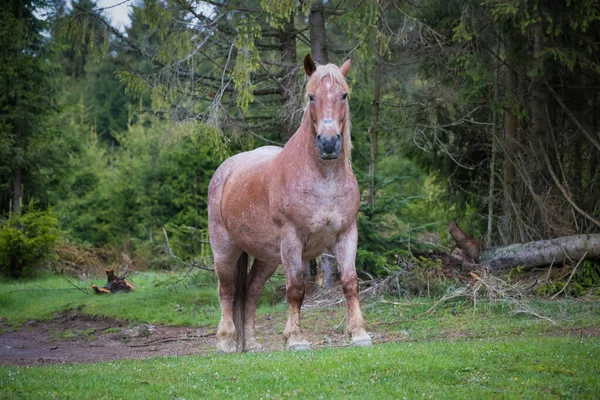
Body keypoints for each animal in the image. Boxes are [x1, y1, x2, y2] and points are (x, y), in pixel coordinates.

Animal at [209, 54, 372, 354]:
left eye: (343, 95)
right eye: (311, 96)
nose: (329, 144)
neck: (323, 179)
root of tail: (225, 170)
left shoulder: (347, 234)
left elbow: (350, 282)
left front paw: (359, 334)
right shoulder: (292, 240)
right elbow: (295, 288)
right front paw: (296, 338)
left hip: (267, 257)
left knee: (251, 292)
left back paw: (251, 343)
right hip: (225, 248)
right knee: (227, 290)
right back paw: (226, 341)